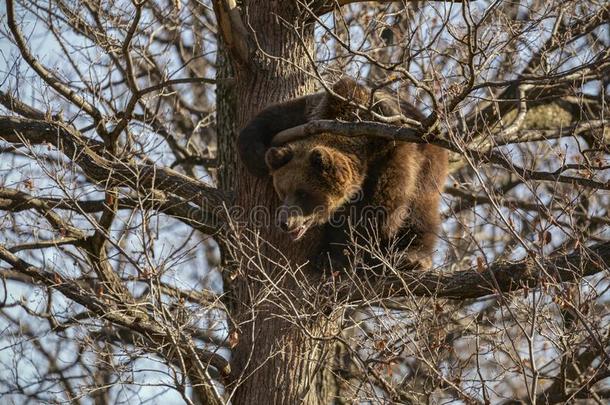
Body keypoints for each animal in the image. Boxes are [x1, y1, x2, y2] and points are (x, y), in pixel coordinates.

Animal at [238, 77, 446, 270]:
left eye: (303, 193)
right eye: (283, 192)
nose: (285, 222)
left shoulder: (390, 148)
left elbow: (379, 208)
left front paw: (334, 255)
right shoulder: (309, 116)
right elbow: (272, 116)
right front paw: (257, 156)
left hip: (428, 161)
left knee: (421, 209)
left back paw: (412, 256)